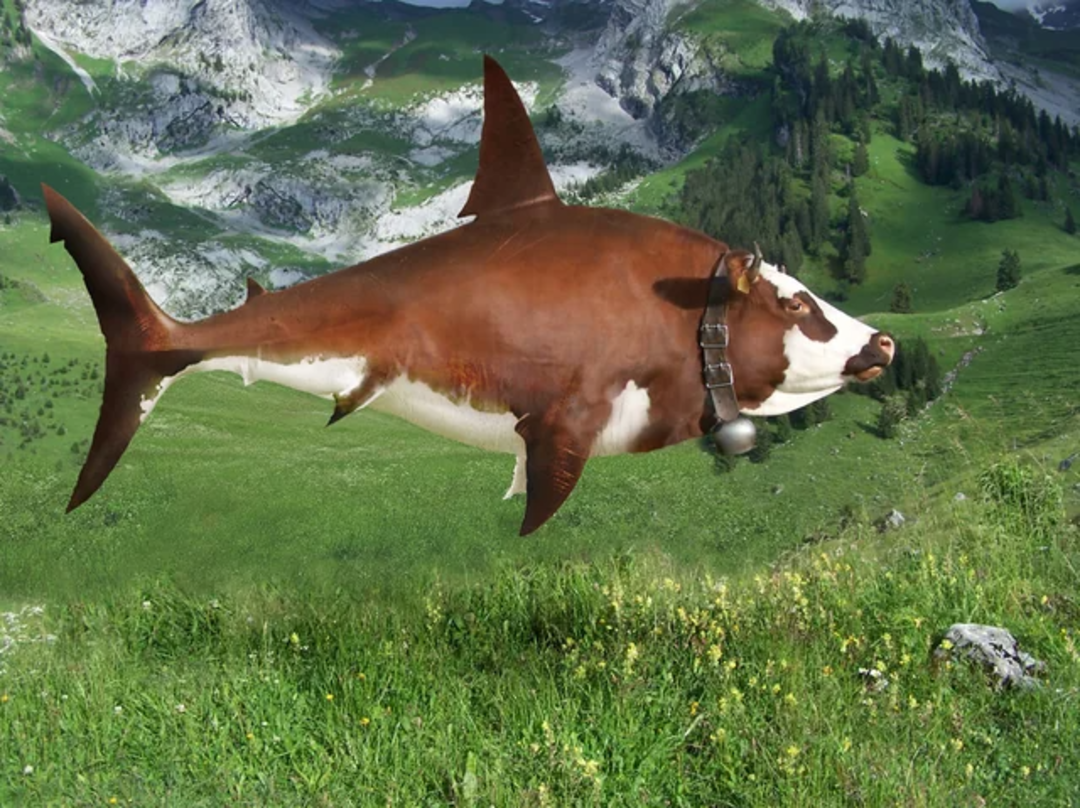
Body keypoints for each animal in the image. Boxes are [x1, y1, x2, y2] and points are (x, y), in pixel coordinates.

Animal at [42, 56, 893, 536]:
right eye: (796, 305)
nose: (881, 341)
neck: (686, 305)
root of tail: (156, 333)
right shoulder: (575, 405)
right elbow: (553, 478)